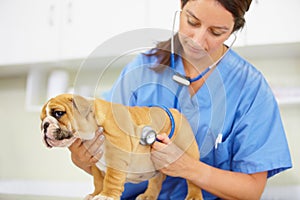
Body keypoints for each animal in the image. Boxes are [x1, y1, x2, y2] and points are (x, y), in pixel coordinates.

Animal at [39, 94, 203, 200]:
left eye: (59, 113)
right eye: (41, 120)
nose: (44, 125)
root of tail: (177, 112)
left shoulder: (116, 157)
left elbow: (111, 179)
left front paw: (106, 196)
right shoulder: (95, 162)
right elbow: (98, 180)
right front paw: (95, 193)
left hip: (188, 152)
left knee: (193, 177)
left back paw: (193, 196)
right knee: (157, 179)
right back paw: (148, 195)